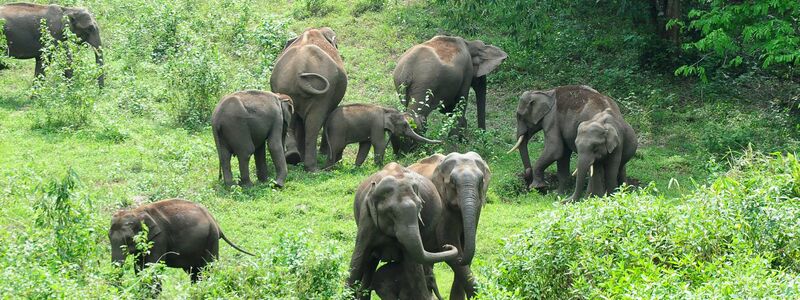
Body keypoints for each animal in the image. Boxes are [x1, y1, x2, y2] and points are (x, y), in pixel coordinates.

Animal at [108, 199, 253, 282]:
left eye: (128, 239)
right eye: (109, 237)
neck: (137, 211)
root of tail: (215, 222)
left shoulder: (159, 239)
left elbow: (152, 267)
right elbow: (139, 268)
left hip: (211, 239)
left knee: (207, 268)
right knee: (195, 272)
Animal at [270, 27, 346, 172]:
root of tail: (300, 68)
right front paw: (323, 153)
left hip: (286, 88)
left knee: (291, 119)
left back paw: (293, 157)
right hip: (322, 95)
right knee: (313, 124)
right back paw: (312, 168)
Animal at [348, 163, 460, 298]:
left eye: (420, 208)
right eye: (391, 212)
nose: (446, 246)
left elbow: (414, 266)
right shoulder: (367, 218)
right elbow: (358, 260)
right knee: (370, 263)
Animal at [410, 152, 490, 300]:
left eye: (481, 181)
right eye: (452, 182)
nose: (445, 248)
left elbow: (464, 247)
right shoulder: (441, 204)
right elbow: (450, 242)